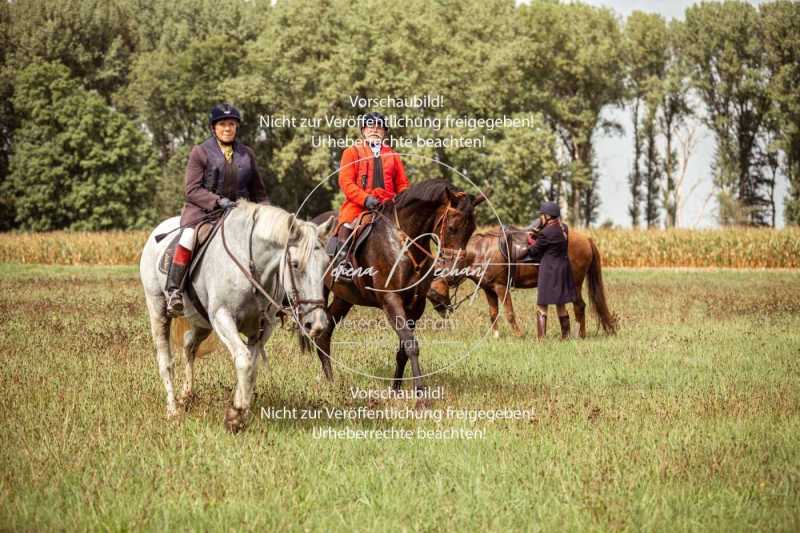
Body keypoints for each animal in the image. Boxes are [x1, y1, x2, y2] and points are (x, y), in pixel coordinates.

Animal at [141, 202, 334, 430]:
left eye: (326, 264)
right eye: (295, 264)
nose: (318, 324)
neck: (252, 266)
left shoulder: (261, 328)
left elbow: (252, 366)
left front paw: (241, 410)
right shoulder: (223, 317)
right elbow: (243, 360)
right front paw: (236, 415)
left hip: (202, 322)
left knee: (189, 345)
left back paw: (186, 395)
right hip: (158, 309)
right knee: (165, 360)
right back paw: (172, 410)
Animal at [306, 181, 482, 392]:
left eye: (472, 230)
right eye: (452, 227)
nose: (455, 274)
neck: (403, 243)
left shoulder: (415, 306)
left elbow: (403, 350)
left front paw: (396, 389)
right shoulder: (391, 300)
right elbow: (411, 344)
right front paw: (420, 391)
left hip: (345, 297)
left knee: (325, 334)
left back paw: (331, 381)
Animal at [428, 224, 616, 336]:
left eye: (433, 295)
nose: (444, 313)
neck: (481, 252)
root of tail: (587, 239)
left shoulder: (501, 287)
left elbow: (509, 313)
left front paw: (519, 335)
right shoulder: (488, 290)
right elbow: (493, 314)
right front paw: (495, 336)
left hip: (575, 284)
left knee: (579, 306)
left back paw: (580, 334)